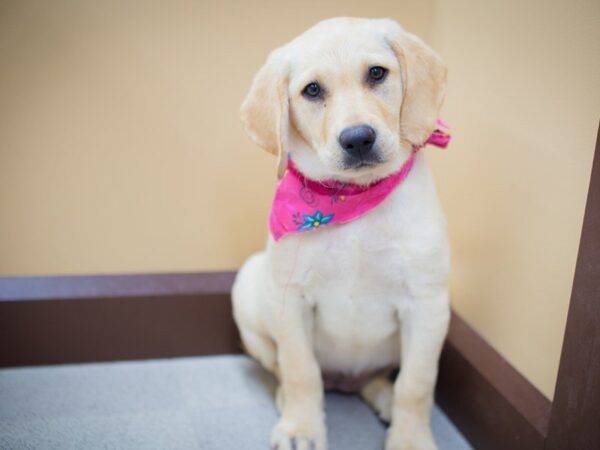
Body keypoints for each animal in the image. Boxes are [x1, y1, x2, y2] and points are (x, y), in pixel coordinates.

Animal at [234, 15, 450, 448]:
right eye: (312, 90)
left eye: (377, 74)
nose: (358, 139)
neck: (352, 199)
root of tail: (346, 383)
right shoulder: (290, 299)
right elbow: (301, 370)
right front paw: (301, 427)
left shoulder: (428, 304)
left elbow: (416, 386)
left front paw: (411, 438)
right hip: (248, 289)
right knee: (283, 367)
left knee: (382, 380)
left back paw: (382, 397)